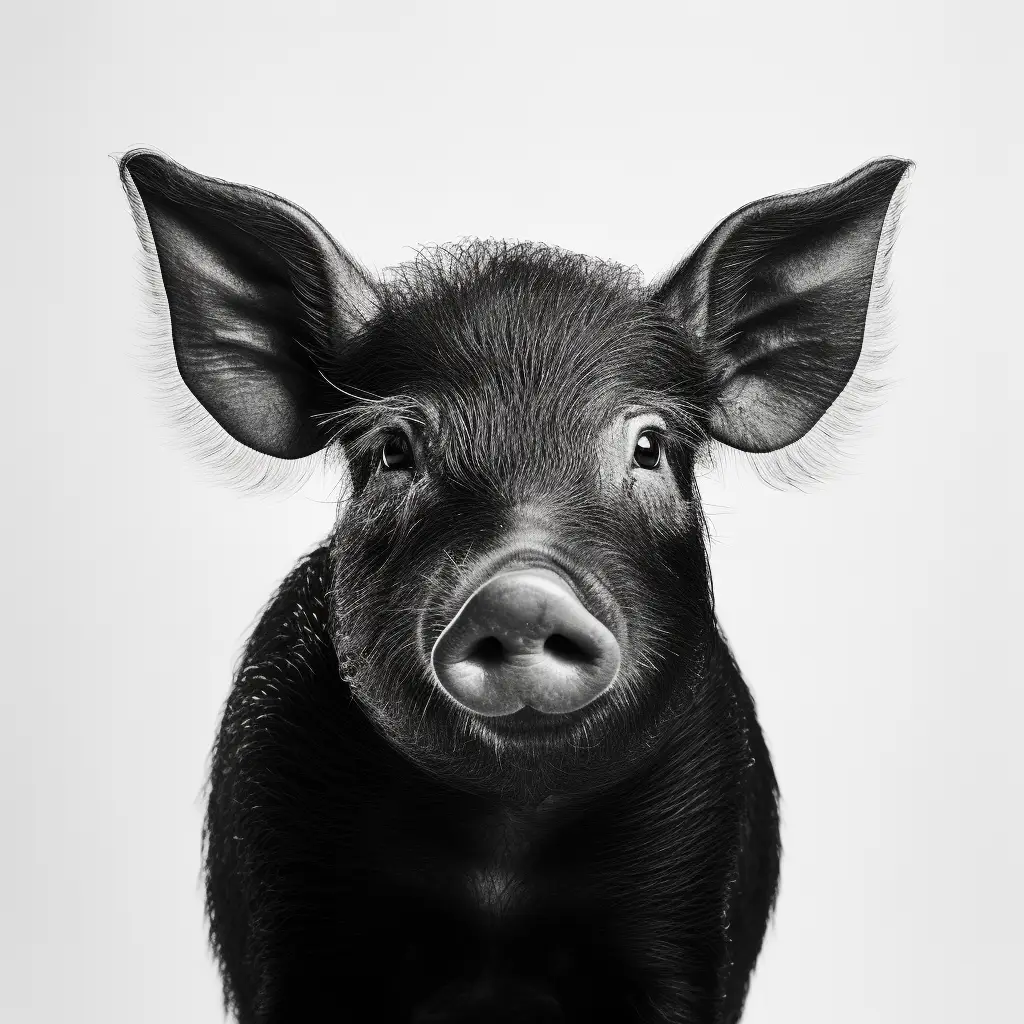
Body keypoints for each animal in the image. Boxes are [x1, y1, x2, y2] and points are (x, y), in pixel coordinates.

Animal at [119, 150, 910, 1024]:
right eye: (393, 449)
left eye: (649, 446)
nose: (524, 595)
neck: (505, 854)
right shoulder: (283, 885)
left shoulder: (694, 896)